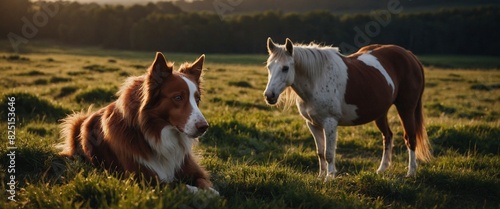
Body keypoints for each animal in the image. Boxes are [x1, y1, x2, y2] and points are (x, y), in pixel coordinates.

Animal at [58, 52, 217, 194]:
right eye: (178, 97)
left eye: (197, 99)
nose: (204, 127)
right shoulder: (143, 179)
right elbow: (181, 186)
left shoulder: (192, 168)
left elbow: (207, 184)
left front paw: (210, 192)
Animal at [264, 38, 432, 180]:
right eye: (269, 67)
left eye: (285, 68)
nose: (269, 95)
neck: (317, 79)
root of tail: (410, 56)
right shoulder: (312, 124)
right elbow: (320, 153)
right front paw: (320, 177)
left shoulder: (330, 122)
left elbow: (329, 153)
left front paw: (329, 178)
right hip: (380, 113)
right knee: (388, 136)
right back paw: (382, 169)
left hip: (406, 109)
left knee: (410, 138)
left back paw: (411, 172)